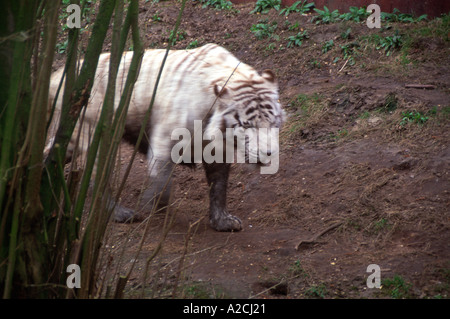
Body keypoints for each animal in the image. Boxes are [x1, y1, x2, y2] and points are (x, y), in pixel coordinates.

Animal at [46, 43, 284, 232]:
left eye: (272, 123)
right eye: (247, 125)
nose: (268, 154)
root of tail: (58, 77)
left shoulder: (218, 150)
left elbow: (218, 187)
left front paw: (221, 221)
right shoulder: (164, 141)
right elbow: (162, 181)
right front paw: (153, 204)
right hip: (98, 137)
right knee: (97, 180)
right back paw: (120, 214)